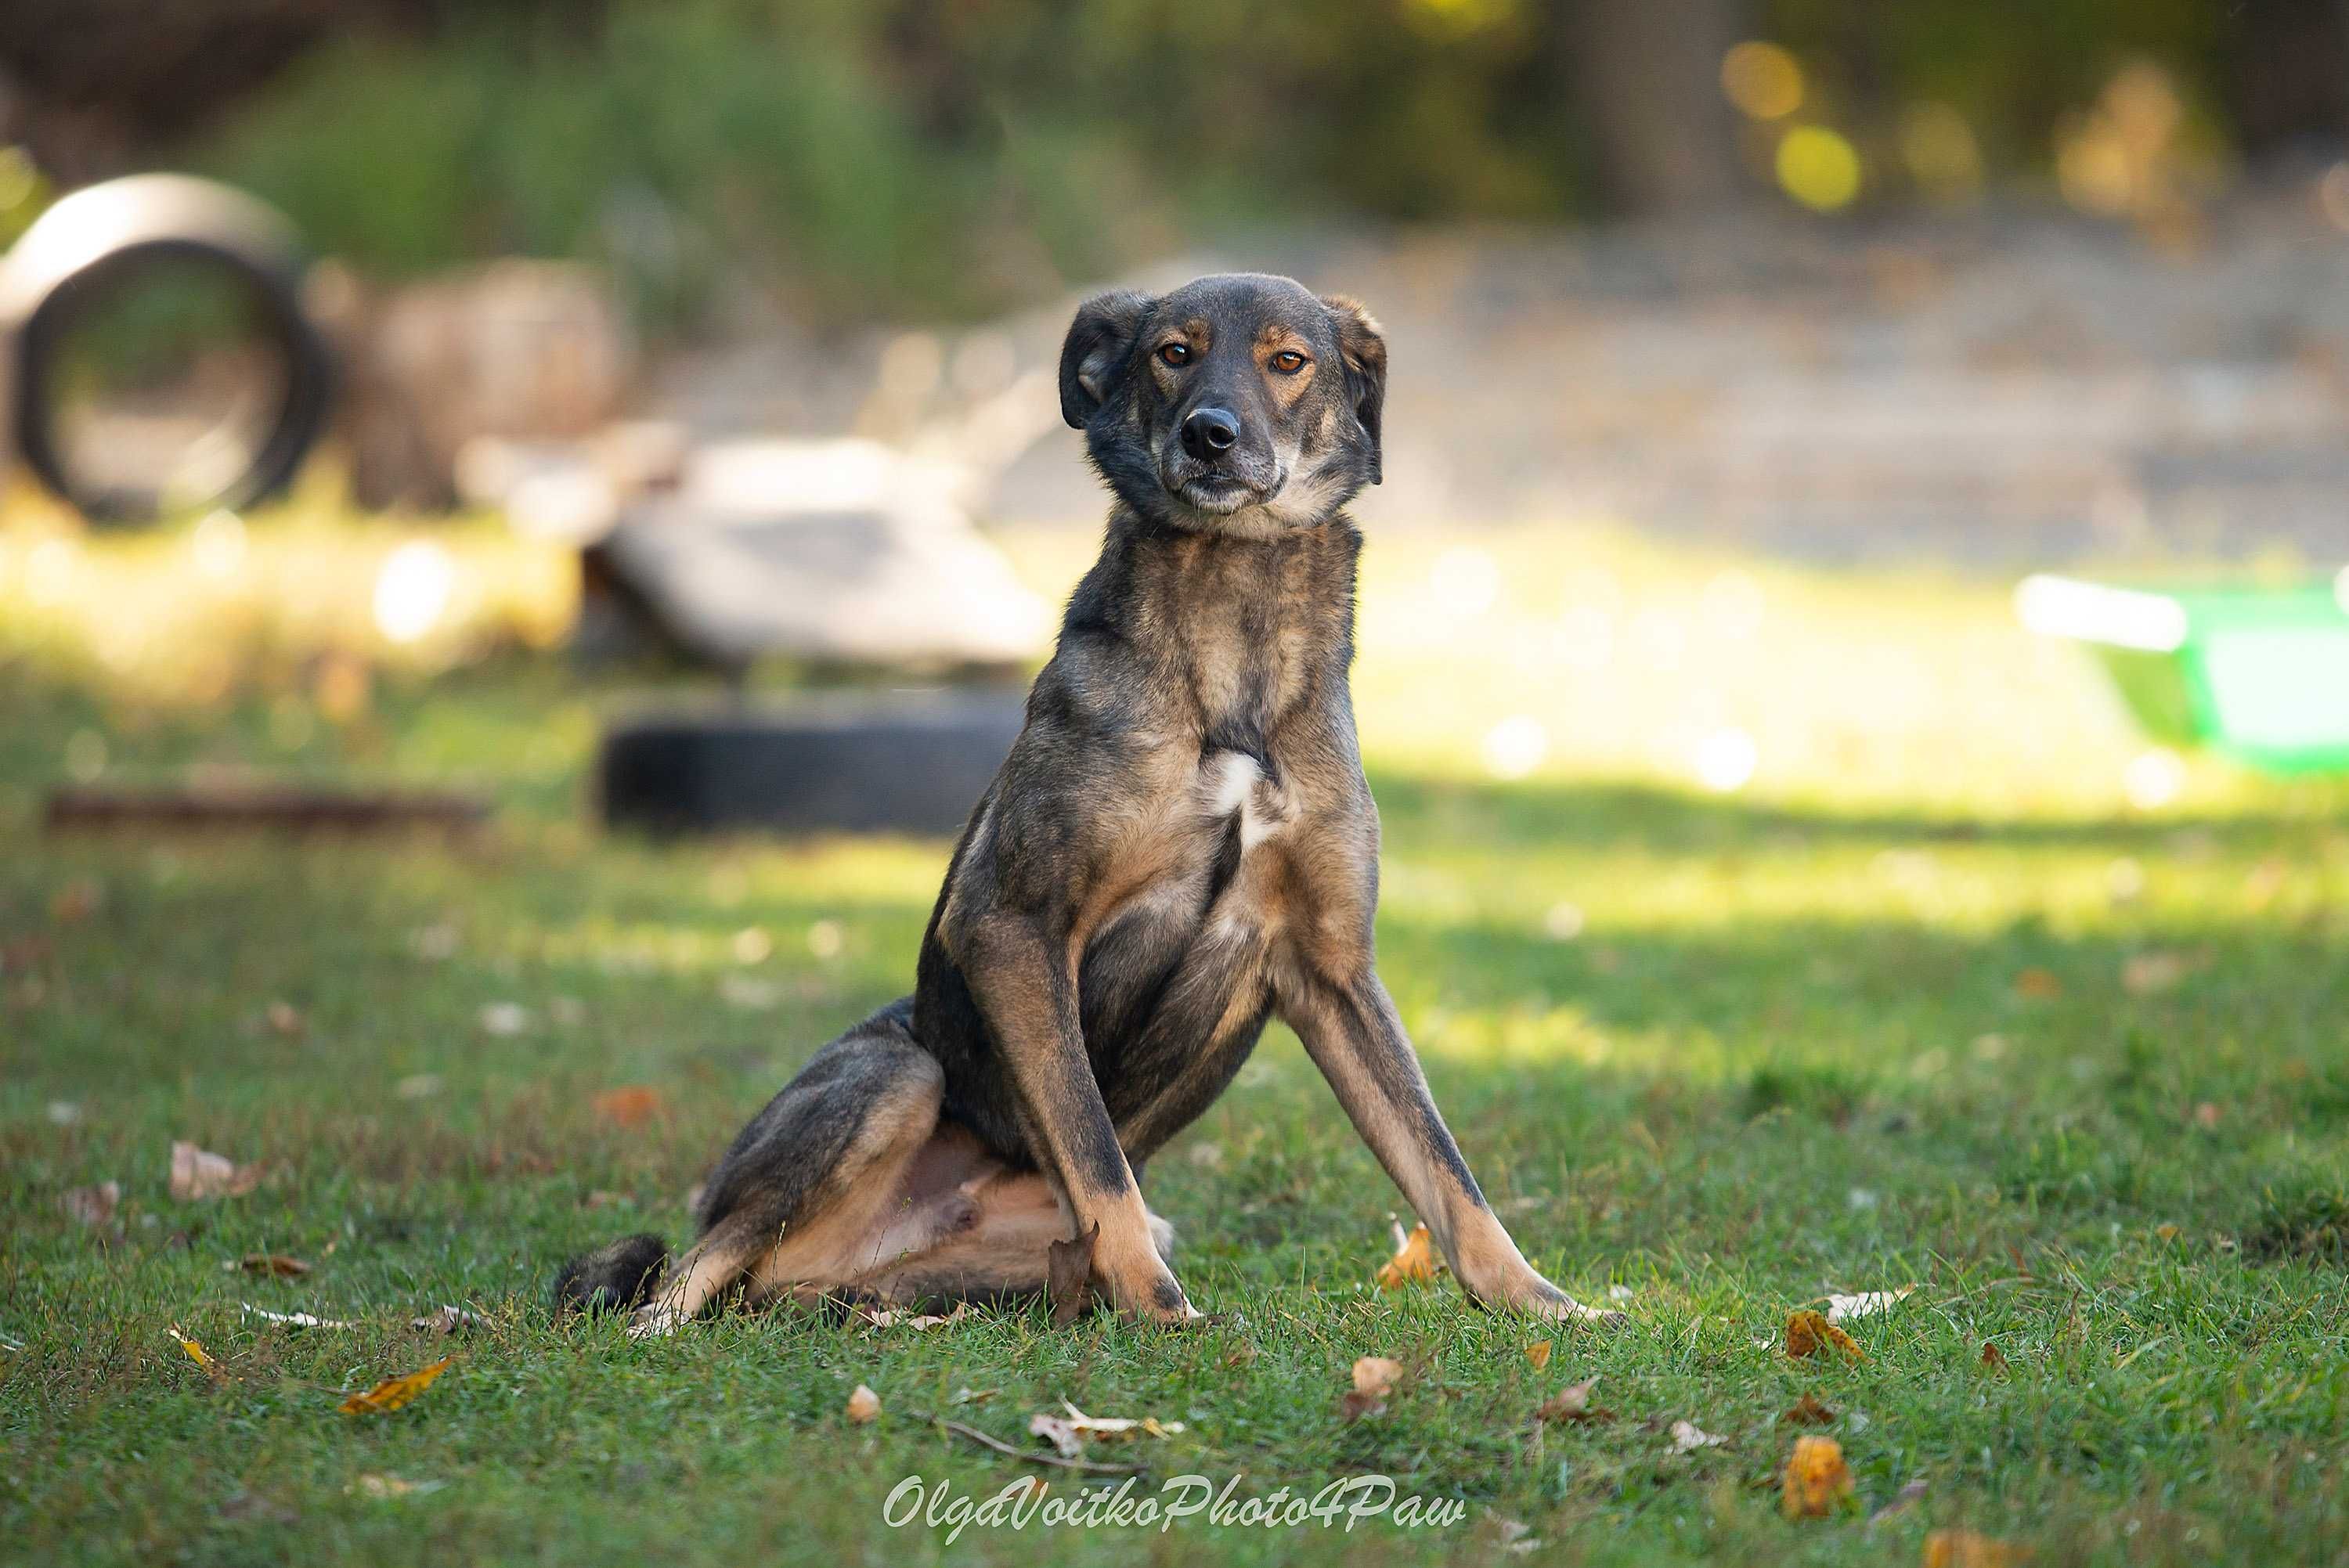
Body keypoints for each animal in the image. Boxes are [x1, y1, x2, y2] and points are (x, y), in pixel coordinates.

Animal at [552, 276, 1616, 1333]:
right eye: (1175, 353)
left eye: (1289, 360)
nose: (1212, 435)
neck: (1231, 624)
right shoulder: (1014, 925)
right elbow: (1096, 1153)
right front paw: (1162, 1309)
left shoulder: (1334, 967)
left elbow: (1445, 1169)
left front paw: (1548, 1301)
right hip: (896, 1074)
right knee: (690, 1267)